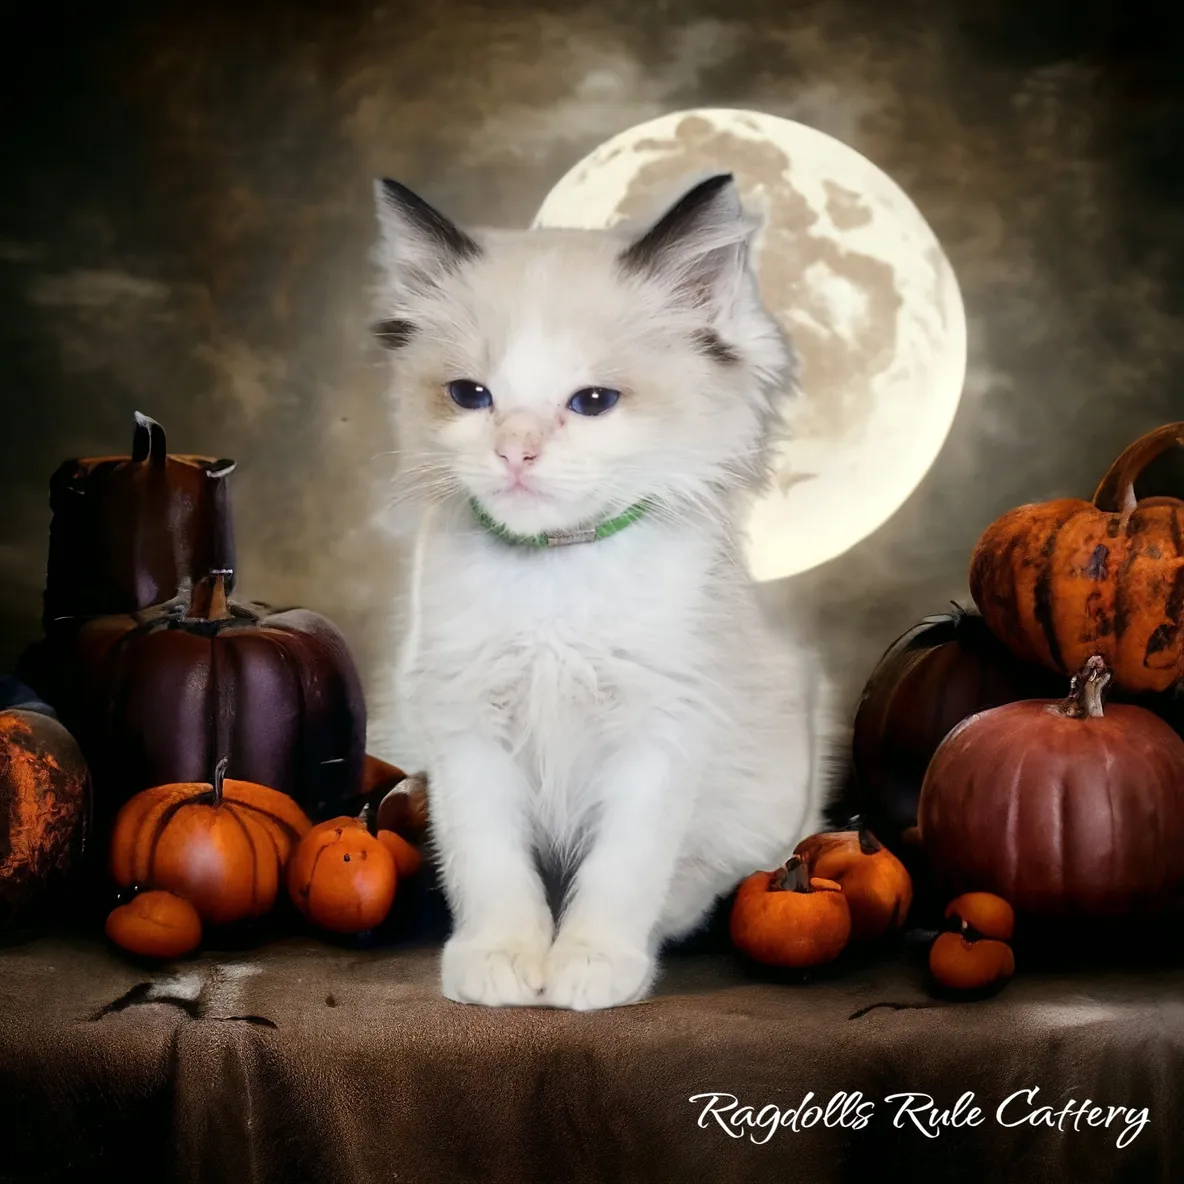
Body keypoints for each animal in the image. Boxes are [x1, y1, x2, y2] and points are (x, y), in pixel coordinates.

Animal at [374, 172, 838, 1008]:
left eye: (592, 402)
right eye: (470, 395)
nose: (515, 452)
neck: (556, 577)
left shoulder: (660, 728)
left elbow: (623, 871)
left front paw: (591, 964)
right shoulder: (467, 724)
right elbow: (488, 865)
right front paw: (500, 960)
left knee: (722, 869)